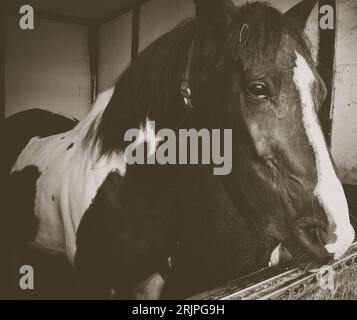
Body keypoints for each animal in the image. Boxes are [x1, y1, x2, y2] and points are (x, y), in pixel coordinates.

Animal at [1, 0, 354, 300]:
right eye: (258, 88)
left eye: (321, 92)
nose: (336, 233)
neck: (133, 191)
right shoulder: (93, 283)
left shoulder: (151, 279)